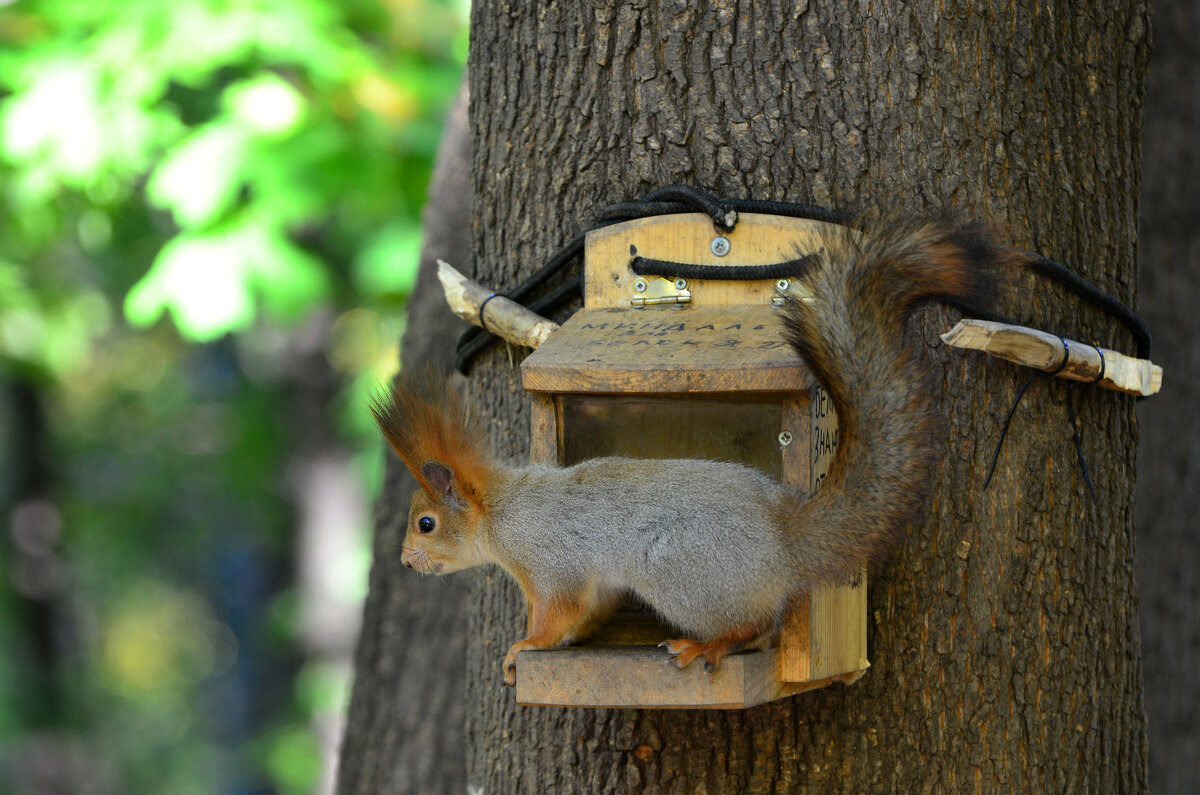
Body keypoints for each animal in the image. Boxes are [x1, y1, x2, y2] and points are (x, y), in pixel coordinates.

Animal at [372, 214, 1003, 686]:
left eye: (426, 523)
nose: (406, 562)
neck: (502, 512)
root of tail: (784, 541)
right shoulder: (592, 582)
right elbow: (588, 614)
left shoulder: (551, 562)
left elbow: (558, 613)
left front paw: (524, 646)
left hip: (675, 569)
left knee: (753, 627)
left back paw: (704, 647)